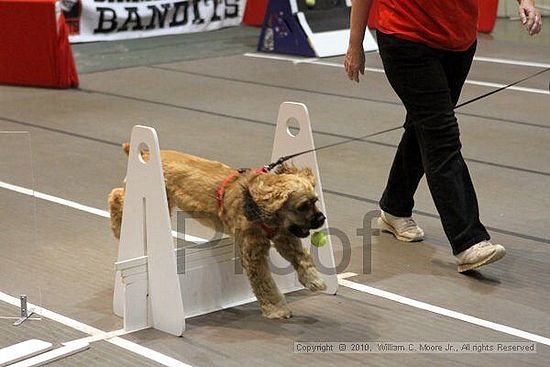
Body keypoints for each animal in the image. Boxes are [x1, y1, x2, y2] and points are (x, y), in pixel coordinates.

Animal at [110, 144, 330, 320]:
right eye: (303, 206)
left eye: (316, 201)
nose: (321, 219)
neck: (257, 204)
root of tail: (147, 154)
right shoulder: (253, 253)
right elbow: (265, 283)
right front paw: (276, 309)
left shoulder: (284, 237)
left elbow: (303, 257)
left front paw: (314, 280)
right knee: (116, 195)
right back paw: (117, 226)